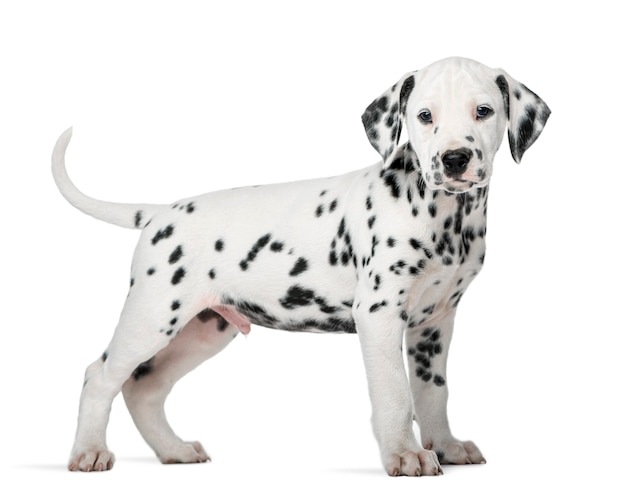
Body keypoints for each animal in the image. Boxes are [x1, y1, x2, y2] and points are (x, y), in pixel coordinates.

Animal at [51, 55, 548, 474]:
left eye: (483, 111)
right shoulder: (380, 314)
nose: (455, 159)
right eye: (425, 117)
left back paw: (173, 450)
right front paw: (405, 455)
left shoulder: (435, 322)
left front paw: (444, 446)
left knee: (145, 387)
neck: (446, 216)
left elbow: (433, 390)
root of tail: (158, 212)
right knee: (100, 376)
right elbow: (395, 392)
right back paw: (89, 452)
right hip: (152, 317)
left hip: (204, 329)